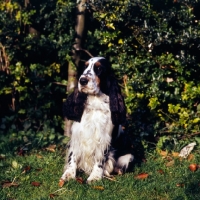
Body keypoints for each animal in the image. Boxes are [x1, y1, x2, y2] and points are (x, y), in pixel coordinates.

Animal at [60, 56, 134, 184]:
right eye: (85, 67)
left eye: (99, 68)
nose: (82, 80)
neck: (95, 103)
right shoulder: (77, 136)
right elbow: (72, 157)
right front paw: (69, 174)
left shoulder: (104, 138)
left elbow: (100, 160)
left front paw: (95, 176)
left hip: (128, 156)